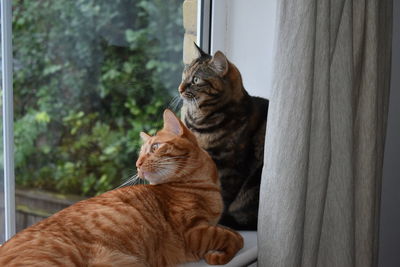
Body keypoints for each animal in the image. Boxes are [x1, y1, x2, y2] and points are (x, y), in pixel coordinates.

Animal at [0, 109, 242, 267]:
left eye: (155, 147)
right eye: (140, 152)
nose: (138, 164)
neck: (203, 186)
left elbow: (231, 231)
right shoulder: (193, 233)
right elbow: (233, 237)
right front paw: (220, 255)